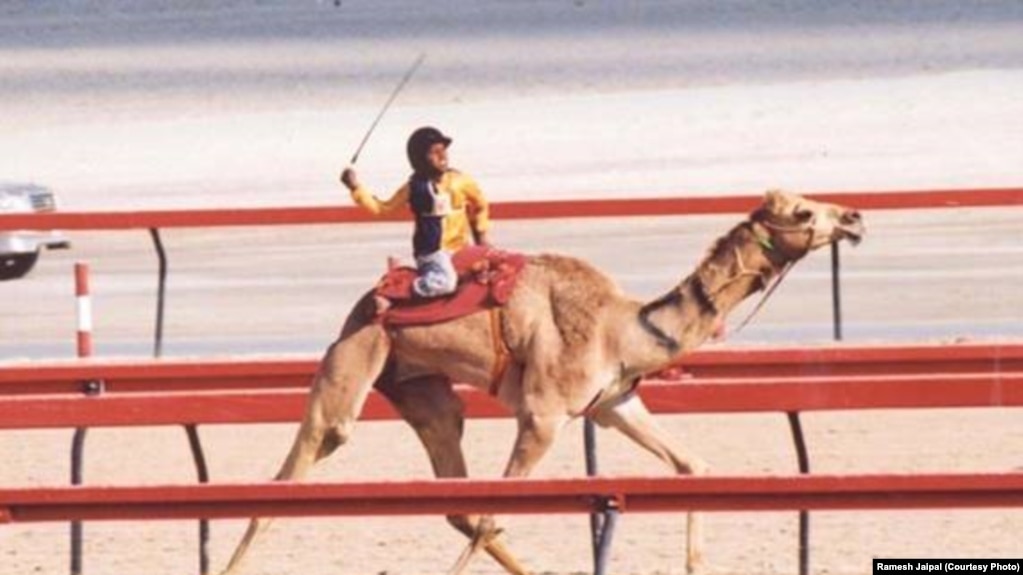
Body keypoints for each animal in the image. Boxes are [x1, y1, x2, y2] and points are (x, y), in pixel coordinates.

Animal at [215, 189, 863, 572]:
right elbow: (496, 512)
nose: (855, 217)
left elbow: (693, 468)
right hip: (353, 362)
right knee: (291, 476)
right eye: (803, 213)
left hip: (419, 387)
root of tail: (364, 300)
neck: (622, 328)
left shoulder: (614, 403)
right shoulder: (543, 415)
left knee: (455, 491)